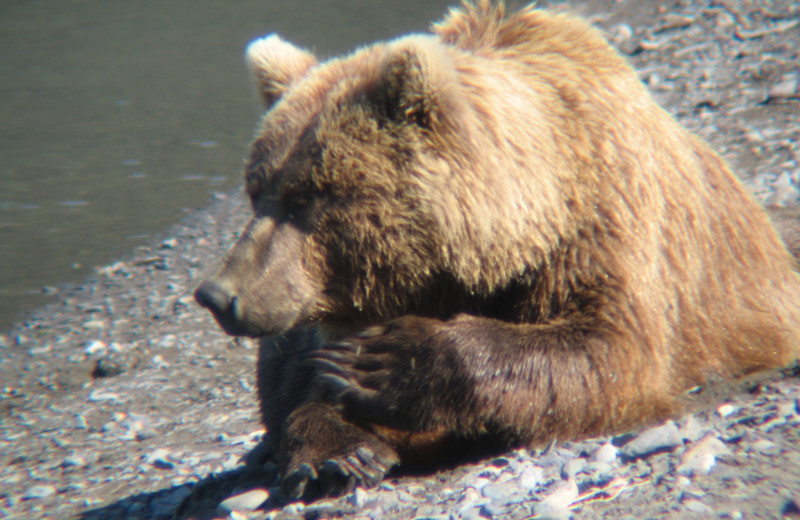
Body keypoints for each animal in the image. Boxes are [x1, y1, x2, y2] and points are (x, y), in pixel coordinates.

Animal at [195, 1, 800, 500]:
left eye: (306, 199)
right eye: (256, 190)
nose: (218, 295)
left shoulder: (604, 227)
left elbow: (608, 350)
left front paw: (387, 360)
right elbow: (301, 381)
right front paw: (340, 450)